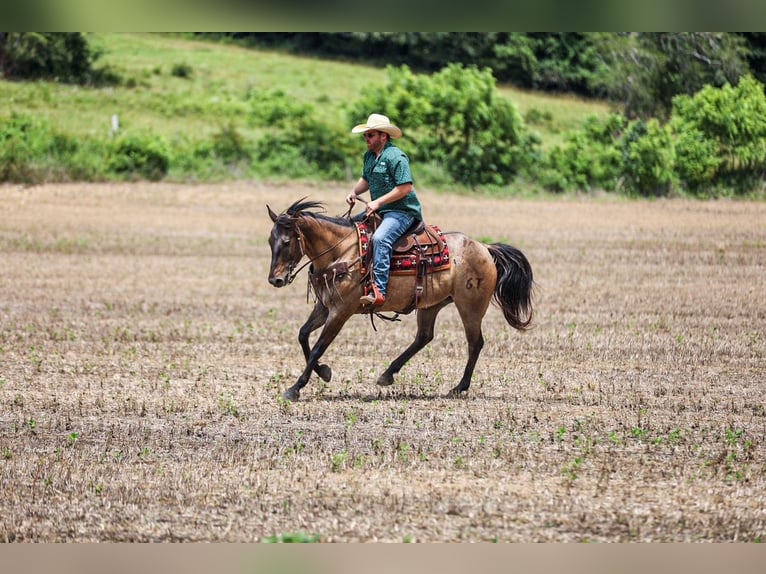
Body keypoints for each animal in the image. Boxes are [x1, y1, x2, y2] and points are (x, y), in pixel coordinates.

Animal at [267, 198, 534, 402]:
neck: (341, 252)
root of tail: (485, 248)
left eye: (287, 242)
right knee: (424, 337)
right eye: (270, 240)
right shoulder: (324, 307)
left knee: (475, 343)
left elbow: (317, 348)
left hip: (470, 307)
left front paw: (296, 388)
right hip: (430, 305)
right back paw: (388, 374)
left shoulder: (341, 311)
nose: (275, 280)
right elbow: (303, 335)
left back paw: (459, 387)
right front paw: (323, 372)